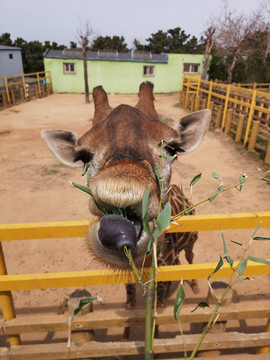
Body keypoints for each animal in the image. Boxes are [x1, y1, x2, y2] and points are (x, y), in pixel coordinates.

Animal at [41, 82, 211, 310]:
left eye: (172, 148)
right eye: (84, 156)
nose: (122, 192)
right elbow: (131, 293)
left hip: (192, 241)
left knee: (191, 259)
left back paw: (195, 287)